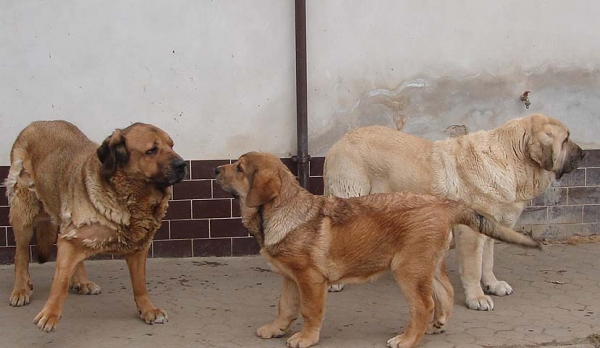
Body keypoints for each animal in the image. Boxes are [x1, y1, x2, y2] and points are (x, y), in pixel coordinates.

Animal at [4, 119, 186, 332]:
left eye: (171, 145)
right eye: (151, 150)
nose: (183, 164)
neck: (126, 195)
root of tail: (37, 122)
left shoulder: (138, 248)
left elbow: (140, 284)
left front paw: (148, 309)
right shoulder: (70, 239)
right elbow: (60, 283)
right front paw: (50, 314)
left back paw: (82, 281)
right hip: (24, 209)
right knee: (21, 254)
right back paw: (20, 289)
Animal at [214, 152, 540, 348]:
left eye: (239, 169)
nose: (216, 168)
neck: (279, 211)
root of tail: (443, 204)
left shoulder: (310, 279)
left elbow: (308, 310)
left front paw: (306, 338)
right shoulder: (291, 278)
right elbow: (285, 306)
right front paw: (275, 329)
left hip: (407, 269)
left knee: (423, 305)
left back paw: (407, 339)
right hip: (427, 265)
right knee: (444, 292)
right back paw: (437, 325)